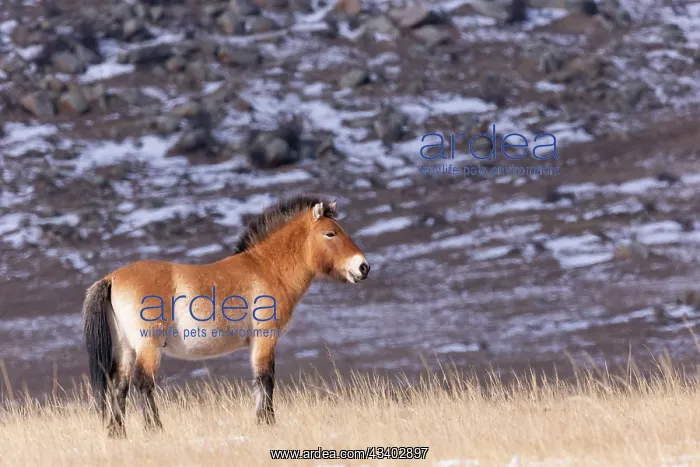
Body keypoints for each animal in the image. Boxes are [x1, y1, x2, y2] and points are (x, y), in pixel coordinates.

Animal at [82, 195, 370, 437]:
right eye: (330, 233)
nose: (363, 267)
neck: (267, 269)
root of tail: (111, 278)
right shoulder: (265, 338)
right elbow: (266, 379)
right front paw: (267, 422)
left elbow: (259, 381)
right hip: (147, 346)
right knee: (143, 384)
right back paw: (155, 429)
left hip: (125, 349)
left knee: (120, 387)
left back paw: (117, 432)